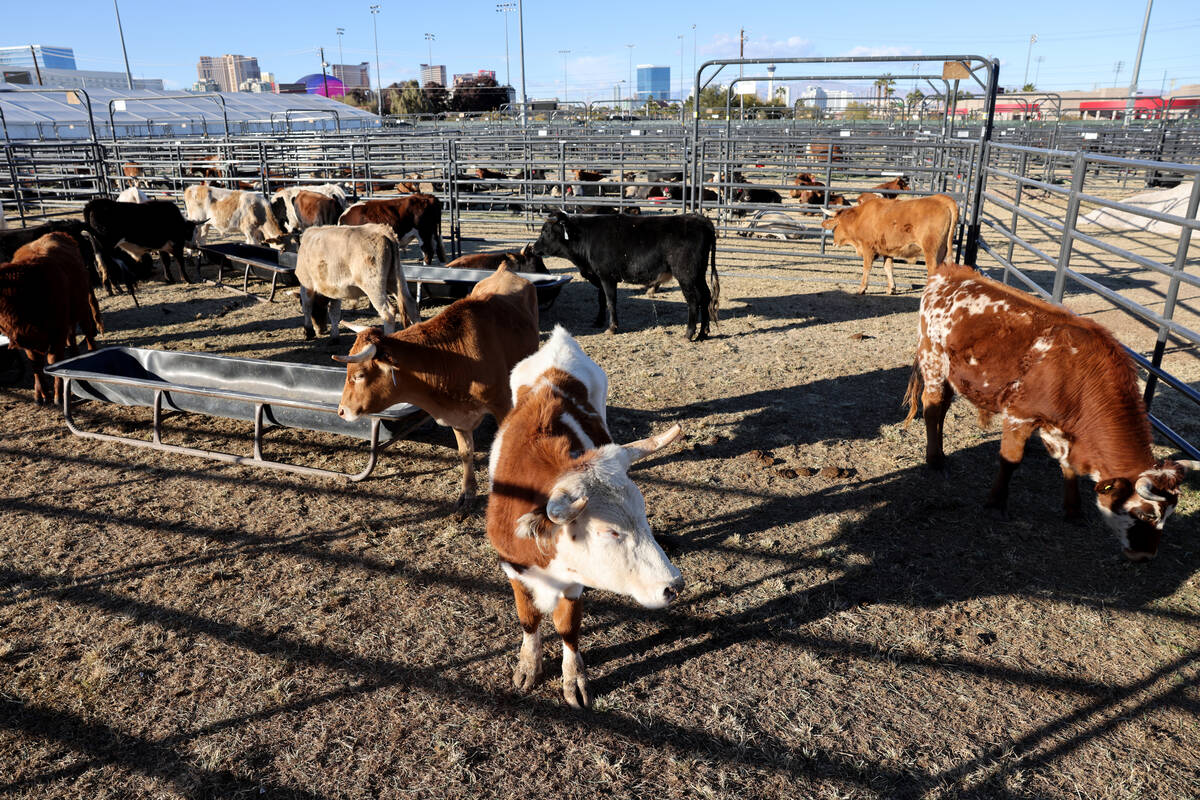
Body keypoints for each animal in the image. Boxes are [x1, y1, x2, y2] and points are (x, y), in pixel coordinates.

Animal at [333, 262, 540, 513]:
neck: (456, 357)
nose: (341, 411)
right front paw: (467, 494)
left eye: (359, 375)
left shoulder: (500, 404)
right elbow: (465, 452)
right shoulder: (457, 414)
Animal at [484, 326, 686, 705]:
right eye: (609, 531)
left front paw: (573, 678)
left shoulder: (573, 582)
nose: (673, 586)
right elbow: (528, 618)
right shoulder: (513, 569)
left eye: (644, 515)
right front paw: (528, 665)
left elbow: (568, 628)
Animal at [816, 191, 955, 296]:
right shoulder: (887, 250)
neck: (860, 218)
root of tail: (941, 199)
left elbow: (867, 267)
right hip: (942, 251)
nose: (833, 242)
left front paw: (862, 288)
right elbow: (888, 268)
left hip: (931, 251)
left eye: (836, 226)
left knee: (932, 270)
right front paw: (891, 288)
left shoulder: (868, 248)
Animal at [902, 266, 1195, 561]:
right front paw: (996, 503)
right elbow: (1011, 460)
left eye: (1168, 516)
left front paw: (1074, 510)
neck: (1079, 374)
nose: (1145, 556)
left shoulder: (1061, 429)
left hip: (952, 376)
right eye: (1146, 515)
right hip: (933, 363)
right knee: (932, 407)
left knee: (942, 409)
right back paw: (935, 459)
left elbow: (1068, 466)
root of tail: (950, 273)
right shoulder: (1019, 415)